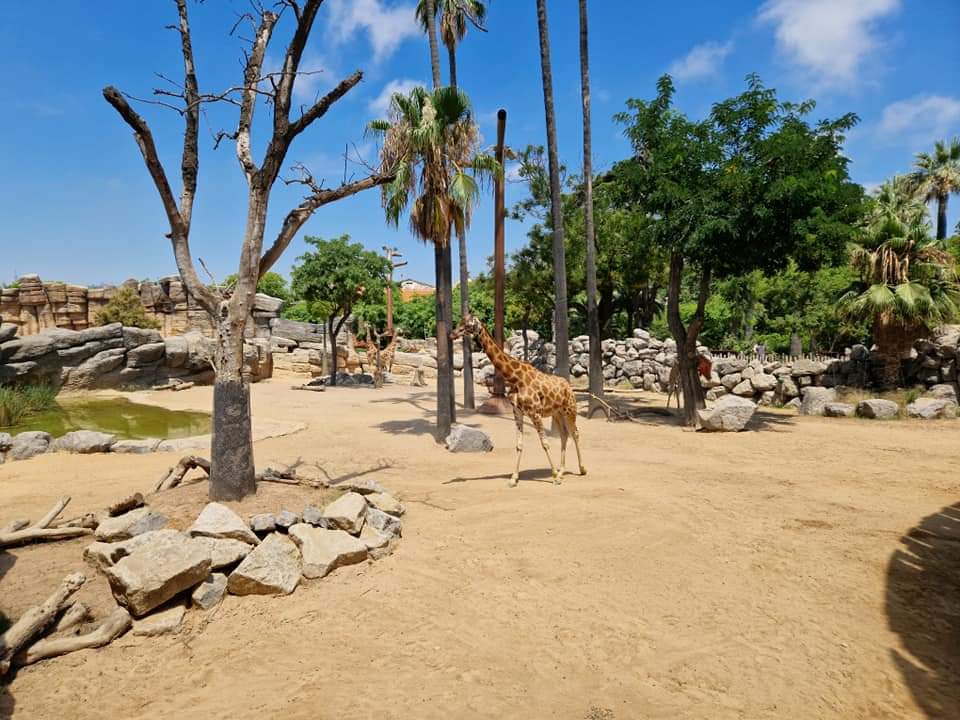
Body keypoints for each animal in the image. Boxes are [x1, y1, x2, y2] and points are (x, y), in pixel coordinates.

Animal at [451, 313, 586, 487]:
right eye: (461, 321)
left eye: (468, 324)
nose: (452, 334)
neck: (515, 378)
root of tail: (568, 386)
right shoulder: (518, 412)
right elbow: (519, 445)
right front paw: (514, 478)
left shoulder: (535, 413)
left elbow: (545, 443)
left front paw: (554, 476)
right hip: (557, 413)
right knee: (564, 435)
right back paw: (562, 471)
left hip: (570, 409)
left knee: (575, 433)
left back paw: (581, 469)